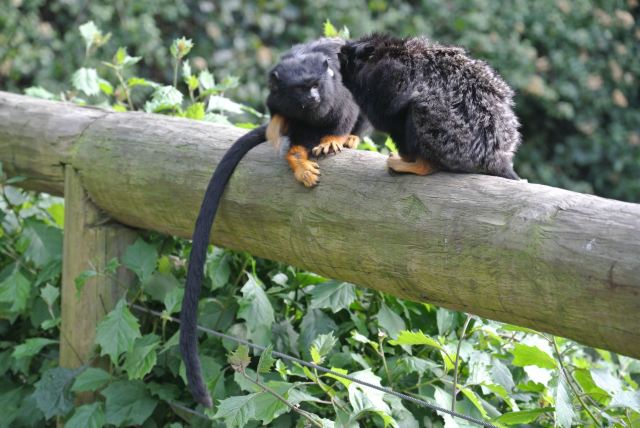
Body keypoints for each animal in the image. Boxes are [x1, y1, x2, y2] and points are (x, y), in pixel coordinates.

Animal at [180, 37, 370, 408]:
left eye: (315, 85)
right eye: (299, 89)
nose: (312, 98)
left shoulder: (340, 95)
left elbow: (348, 112)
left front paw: (336, 139)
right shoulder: (277, 97)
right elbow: (279, 119)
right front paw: (288, 143)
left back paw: (343, 140)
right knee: (295, 137)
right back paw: (298, 158)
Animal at [340, 33, 520, 179]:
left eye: (351, 56)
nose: (342, 50)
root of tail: (495, 158)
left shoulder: (389, 75)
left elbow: (390, 114)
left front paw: (406, 157)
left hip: (449, 145)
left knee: (417, 109)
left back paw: (421, 165)